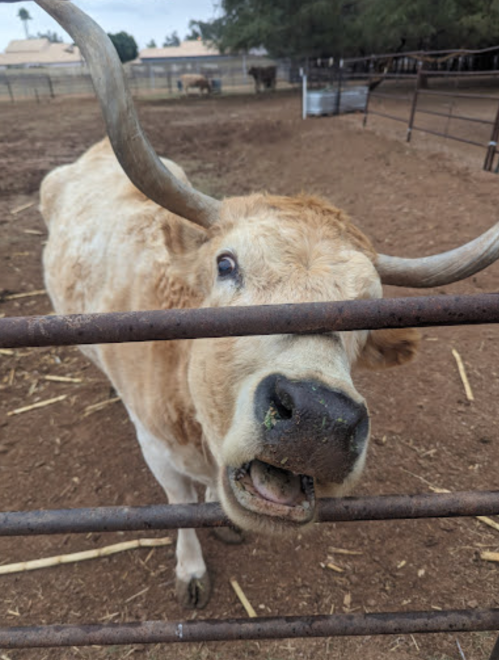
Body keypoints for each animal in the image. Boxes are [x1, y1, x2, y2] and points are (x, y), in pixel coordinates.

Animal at [34, 0, 499, 609]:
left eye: (371, 306)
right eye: (225, 264)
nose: (320, 419)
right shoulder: (157, 451)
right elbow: (178, 507)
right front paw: (190, 569)